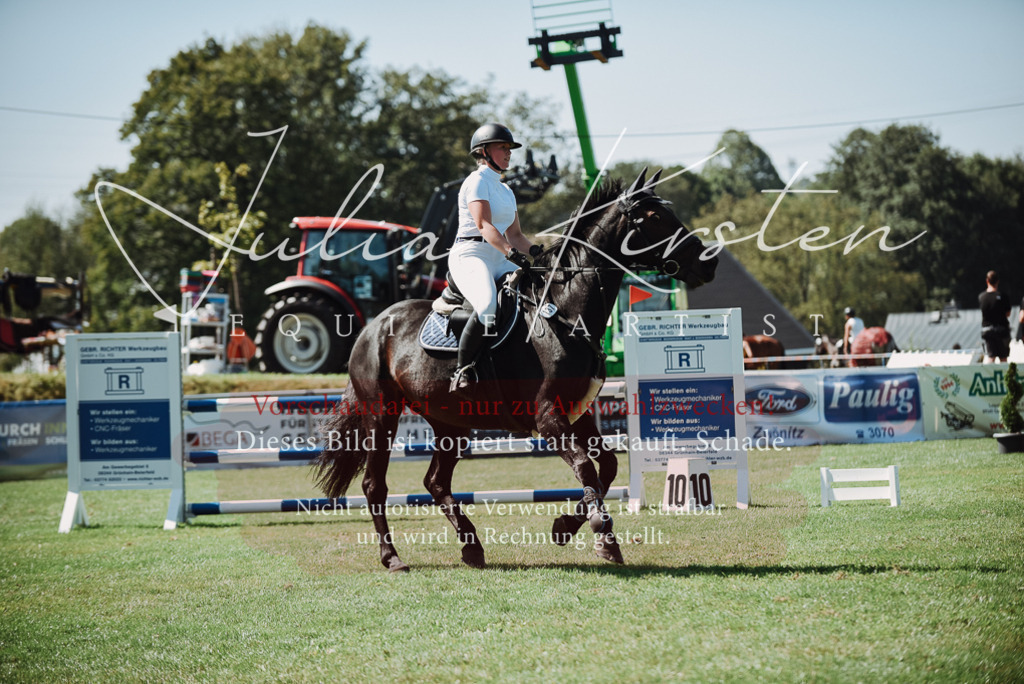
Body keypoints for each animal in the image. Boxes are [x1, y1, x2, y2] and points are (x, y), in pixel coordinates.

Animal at [314, 169, 719, 572]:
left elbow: (606, 467)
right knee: (375, 485)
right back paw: (393, 556)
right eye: (654, 218)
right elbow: (586, 467)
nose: (709, 262)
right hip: (382, 415)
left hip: (451, 423)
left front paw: (565, 527)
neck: (566, 312)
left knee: (436, 482)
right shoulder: (548, 416)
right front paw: (603, 536)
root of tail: (372, 326)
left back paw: (472, 547)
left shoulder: (577, 413)